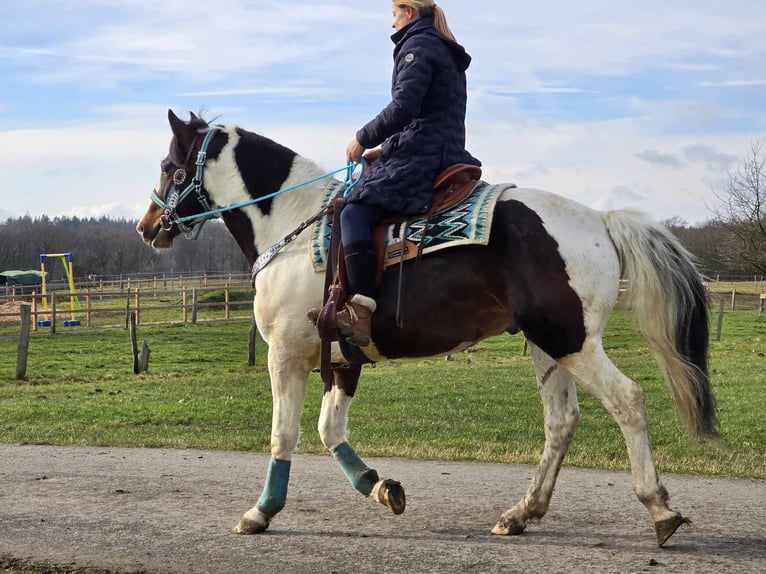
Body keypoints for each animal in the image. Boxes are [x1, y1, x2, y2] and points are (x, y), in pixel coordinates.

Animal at [135, 110, 716, 548]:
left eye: (168, 165)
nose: (147, 226)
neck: (292, 228)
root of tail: (600, 220)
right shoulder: (342, 360)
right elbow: (330, 431)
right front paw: (380, 487)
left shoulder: (286, 355)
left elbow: (285, 433)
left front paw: (261, 513)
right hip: (546, 346)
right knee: (562, 421)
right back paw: (521, 512)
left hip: (571, 341)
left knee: (628, 400)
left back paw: (661, 511)